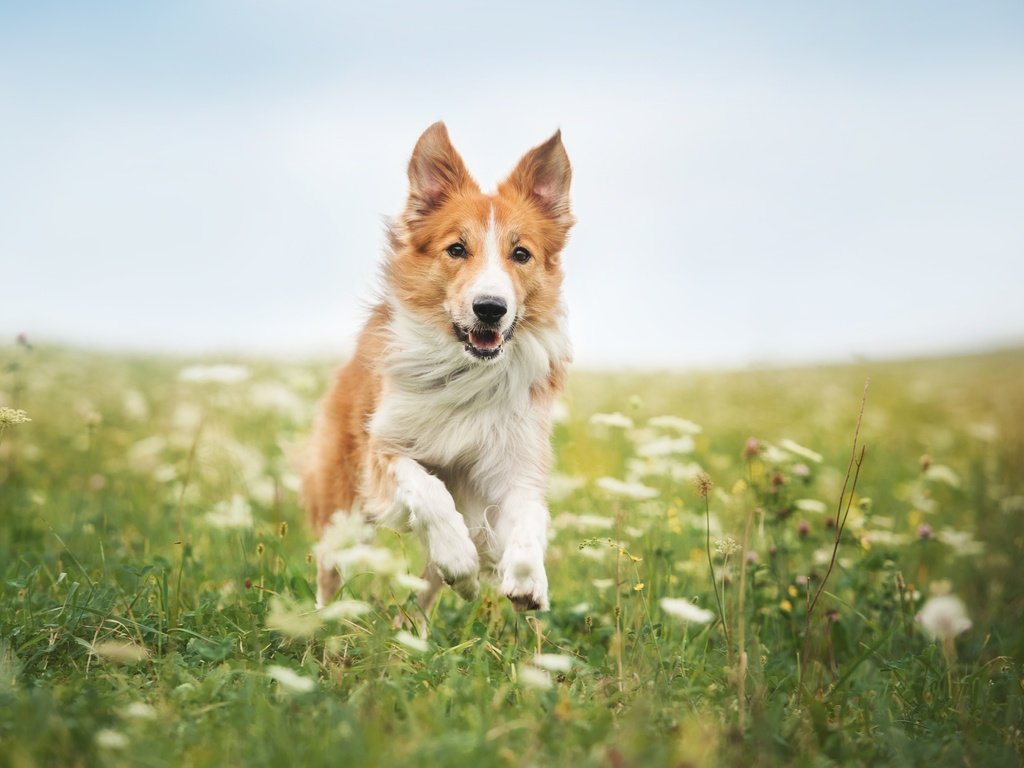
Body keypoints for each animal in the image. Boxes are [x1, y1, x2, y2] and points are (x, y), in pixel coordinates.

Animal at [303, 123, 577, 618]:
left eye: (521, 254)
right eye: (457, 248)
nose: (490, 308)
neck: (466, 372)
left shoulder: (513, 463)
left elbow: (531, 513)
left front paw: (527, 578)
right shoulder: (383, 449)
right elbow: (428, 489)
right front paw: (458, 554)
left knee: (425, 597)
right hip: (341, 505)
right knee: (330, 572)